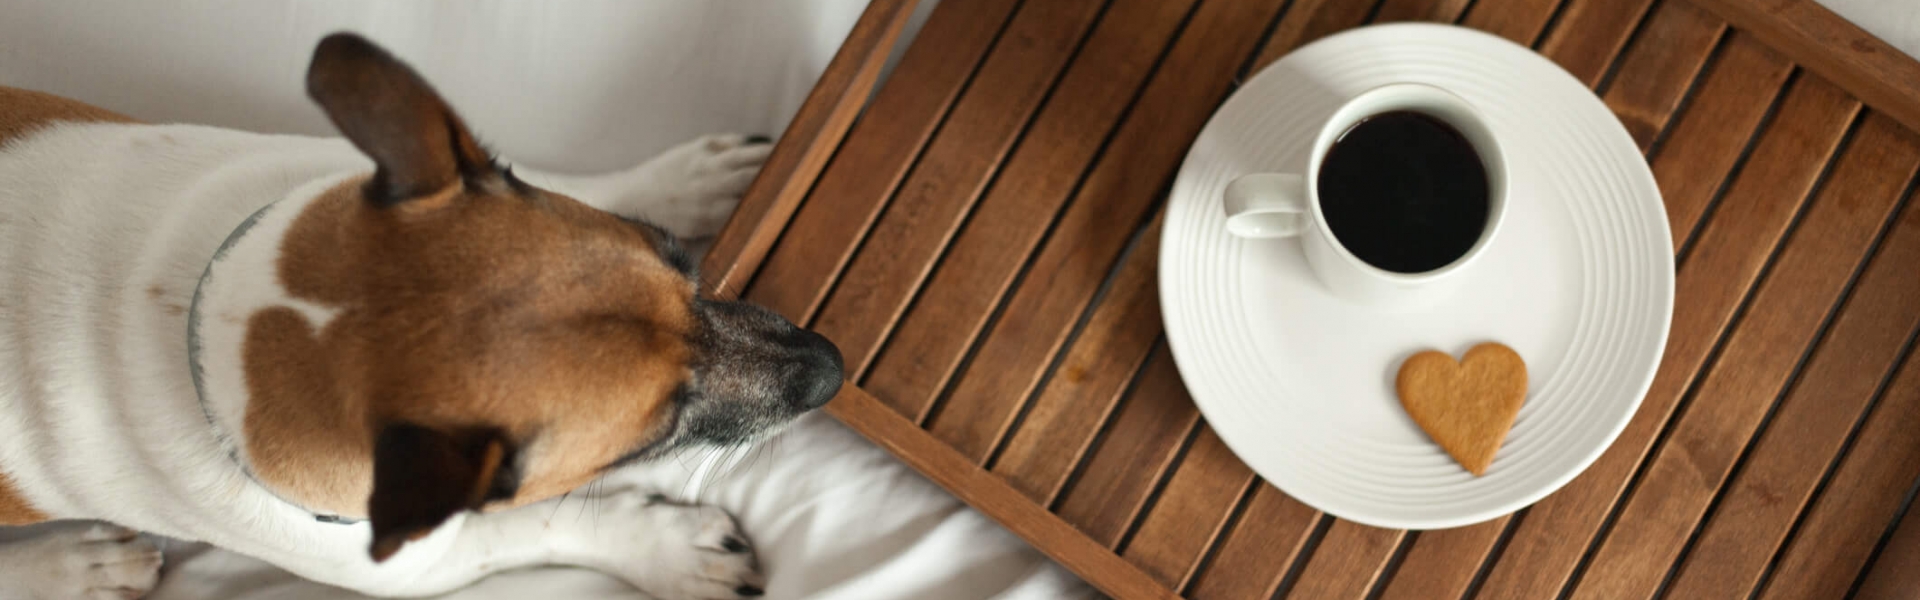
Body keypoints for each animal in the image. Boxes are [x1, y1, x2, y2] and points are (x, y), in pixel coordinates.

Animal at [0, 33, 848, 600]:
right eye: (655, 436)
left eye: (678, 257)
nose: (830, 368)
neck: (209, 306)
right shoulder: (415, 560)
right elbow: (545, 527)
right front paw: (666, 548)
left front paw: (689, 179)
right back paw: (72, 567)